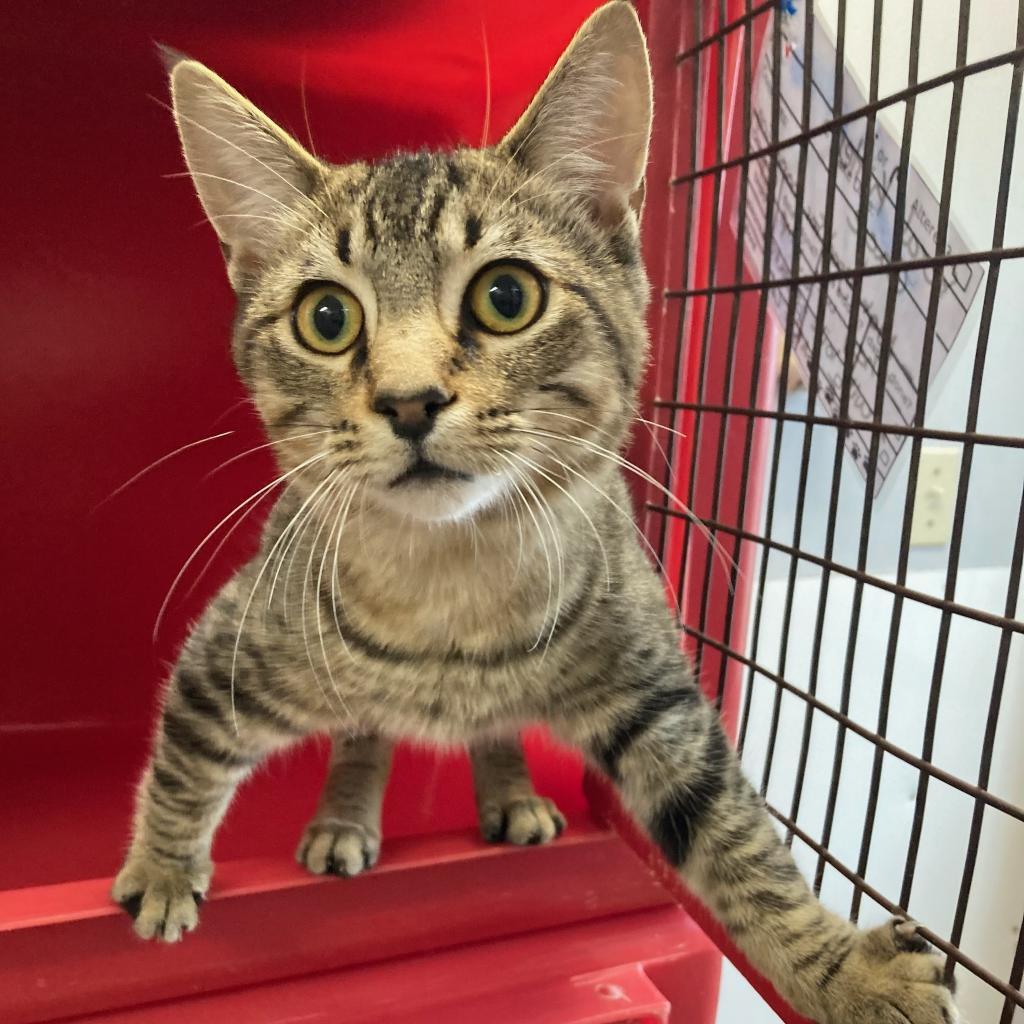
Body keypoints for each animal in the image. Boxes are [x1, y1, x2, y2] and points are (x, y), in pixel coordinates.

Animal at [114, 4, 958, 1019]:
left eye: (506, 295)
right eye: (326, 317)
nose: (408, 401)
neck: (451, 589)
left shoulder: (656, 691)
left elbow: (731, 829)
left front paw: (838, 966)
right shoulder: (231, 650)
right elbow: (186, 752)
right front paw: (162, 869)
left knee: (496, 731)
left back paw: (509, 791)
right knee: (361, 734)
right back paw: (345, 816)